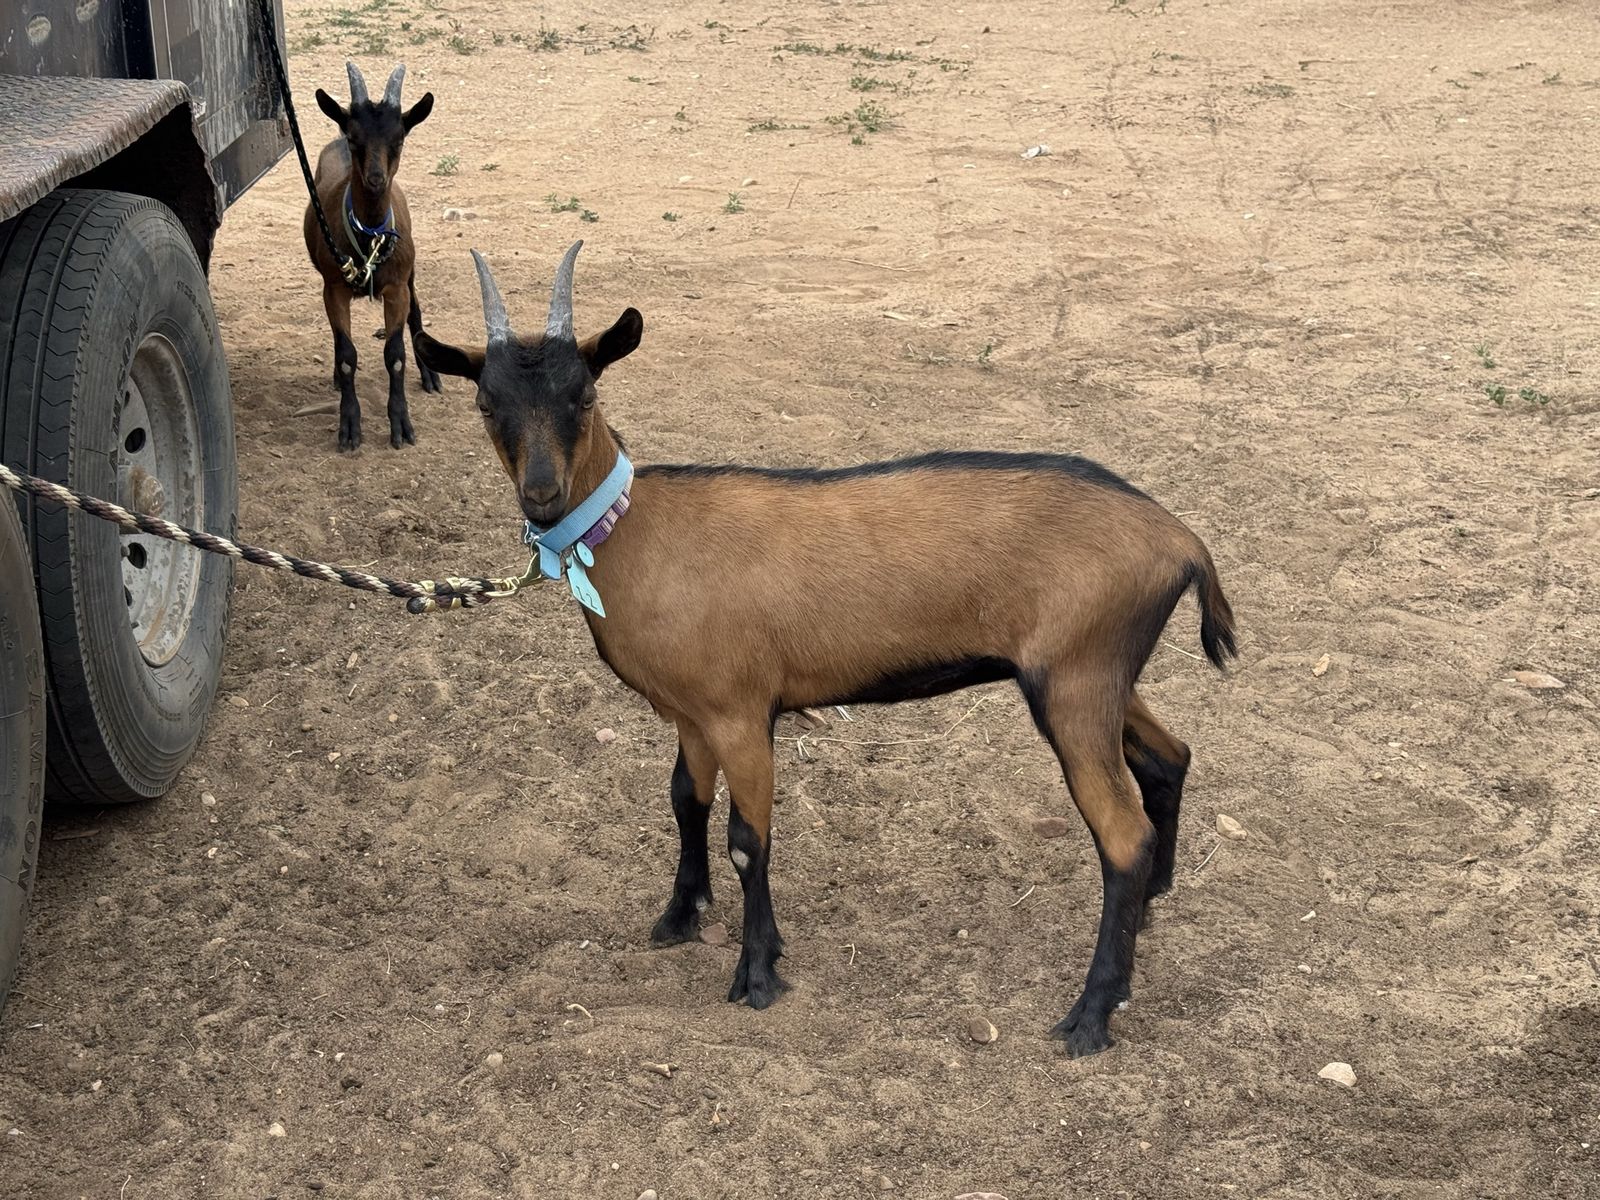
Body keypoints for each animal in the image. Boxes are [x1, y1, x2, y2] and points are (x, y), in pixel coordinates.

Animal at [305, 61, 438, 452]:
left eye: (400, 139)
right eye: (355, 139)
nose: (376, 178)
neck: (369, 239)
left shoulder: (396, 288)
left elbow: (395, 357)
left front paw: (402, 425)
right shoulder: (334, 288)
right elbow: (347, 356)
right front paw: (349, 426)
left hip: (410, 272)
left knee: (416, 313)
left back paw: (430, 375)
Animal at [415, 242, 1239, 1057]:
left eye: (584, 396)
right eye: (486, 404)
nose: (543, 495)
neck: (640, 531)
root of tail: (1182, 542)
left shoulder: (741, 712)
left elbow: (748, 839)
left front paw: (758, 974)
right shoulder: (691, 712)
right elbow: (685, 800)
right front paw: (681, 916)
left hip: (1074, 682)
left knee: (1122, 837)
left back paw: (1092, 1014)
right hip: (1101, 674)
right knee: (1169, 758)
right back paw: (1150, 914)